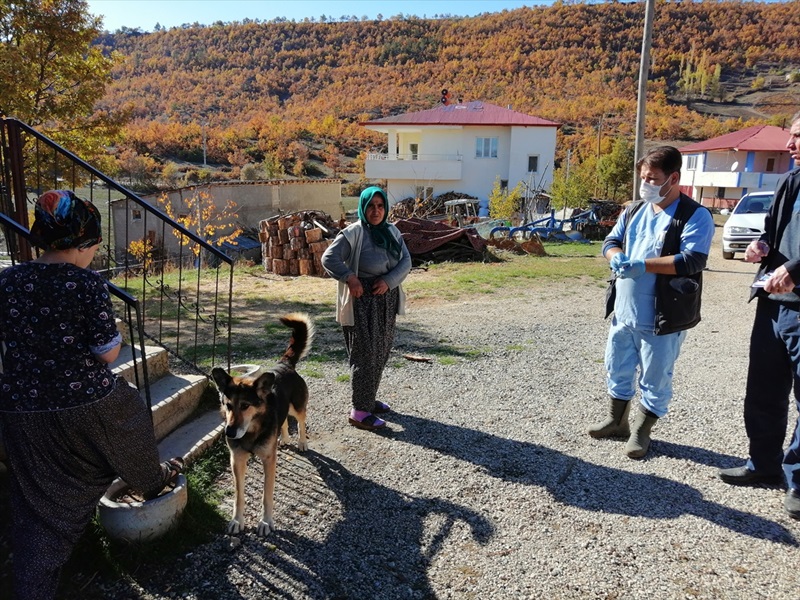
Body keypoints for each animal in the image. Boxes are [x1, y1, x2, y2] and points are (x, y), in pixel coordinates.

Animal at [211, 312, 314, 536]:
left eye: (245, 405)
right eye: (228, 405)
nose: (229, 433)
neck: (251, 431)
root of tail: (284, 364)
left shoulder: (268, 460)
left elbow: (267, 495)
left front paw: (266, 522)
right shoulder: (237, 460)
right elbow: (239, 495)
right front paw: (237, 520)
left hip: (297, 407)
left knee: (301, 422)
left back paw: (302, 442)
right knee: (282, 422)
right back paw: (283, 439)